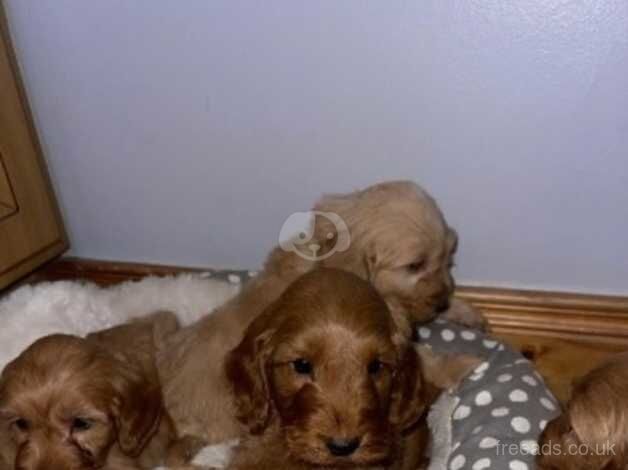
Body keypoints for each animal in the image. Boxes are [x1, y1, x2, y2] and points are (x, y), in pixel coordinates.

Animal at [158, 180, 486, 448]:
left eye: (448, 257)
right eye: (415, 265)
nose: (441, 303)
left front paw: (465, 311)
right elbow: (424, 359)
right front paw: (464, 363)